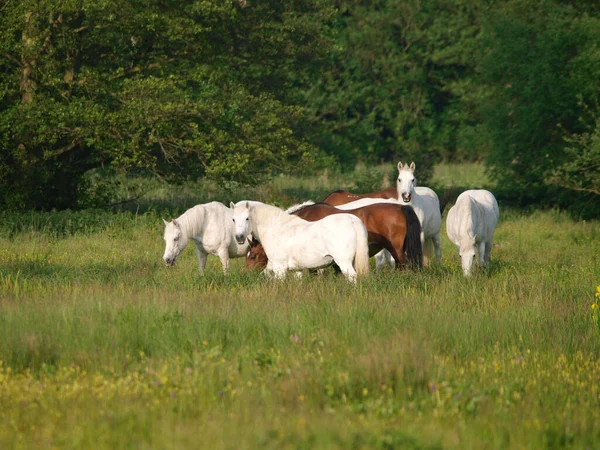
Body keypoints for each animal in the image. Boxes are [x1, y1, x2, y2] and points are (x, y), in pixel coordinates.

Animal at [231, 200, 368, 282]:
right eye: (233, 219)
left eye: (247, 218)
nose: (239, 237)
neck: (277, 228)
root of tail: (352, 220)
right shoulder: (298, 269)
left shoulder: (279, 268)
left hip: (344, 262)